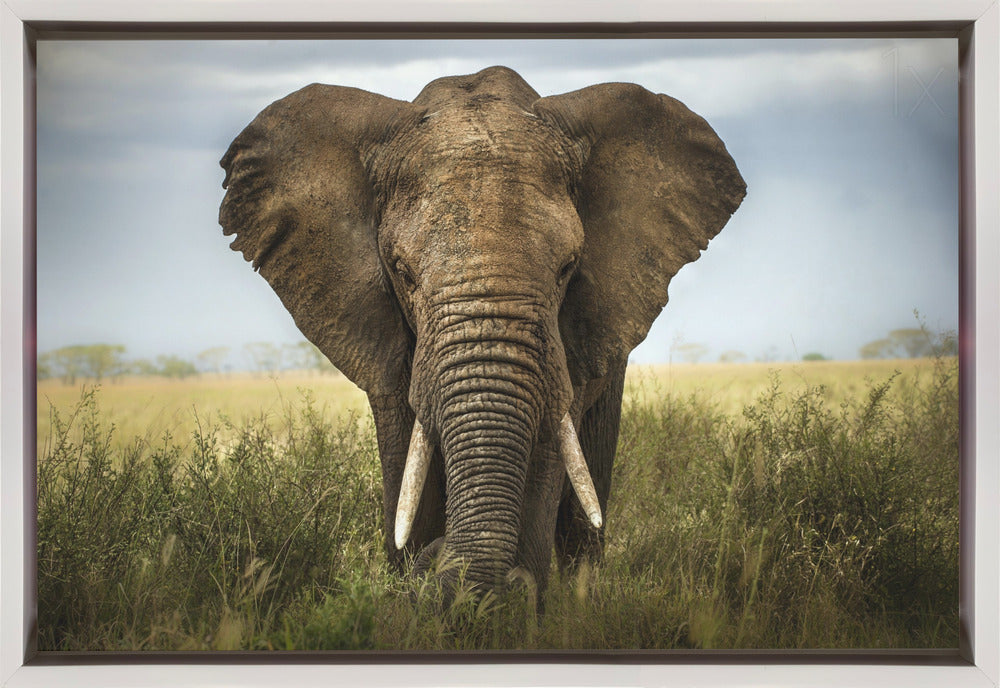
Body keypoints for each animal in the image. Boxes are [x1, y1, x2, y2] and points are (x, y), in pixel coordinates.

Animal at [218, 66, 745, 601]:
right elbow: (406, 463)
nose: (437, 560)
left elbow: (546, 455)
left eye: (567, 269)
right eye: (403, 272)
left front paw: (511, 602)